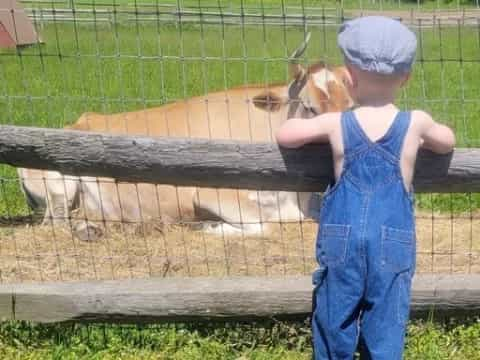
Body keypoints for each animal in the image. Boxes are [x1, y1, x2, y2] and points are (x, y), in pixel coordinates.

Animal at [17, 40, 352, 239]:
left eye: (351, 107)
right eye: (309, 107)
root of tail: (81, 120)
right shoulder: (211, 193)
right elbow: (273, 224)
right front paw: (212, 226)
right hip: (59, 187)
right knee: (57, 223)